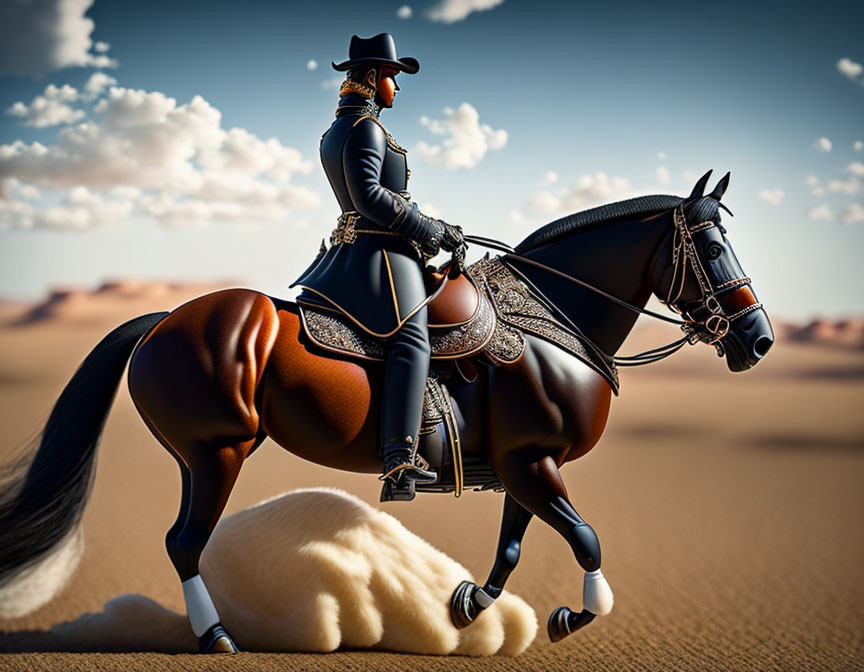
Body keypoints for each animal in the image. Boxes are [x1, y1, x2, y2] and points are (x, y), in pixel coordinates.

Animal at [0, 169, 772, 652]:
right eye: (710, 246)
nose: (758, 339)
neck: (551, 320)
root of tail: (163, 321)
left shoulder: (525, 467)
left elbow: (513, 548)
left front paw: (467, 604)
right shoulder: (534, 464)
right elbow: (587, 542)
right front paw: (567, 617)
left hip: (200, 456)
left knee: (183, 541)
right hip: (218, 451)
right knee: (185, 544)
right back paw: (218, 638)